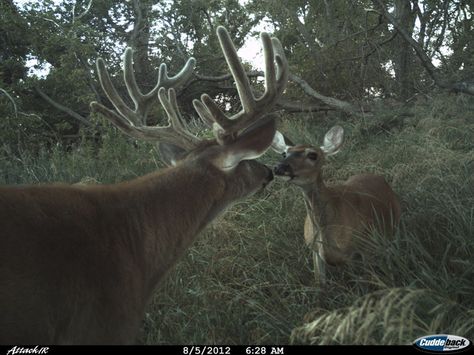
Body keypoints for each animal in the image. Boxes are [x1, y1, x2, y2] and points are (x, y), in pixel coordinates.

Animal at [270, 126, 400, 286]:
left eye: (312, 155)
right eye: (284, 153)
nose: (279, 167)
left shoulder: (363, 248)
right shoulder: (314, 250)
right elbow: (320, 284)